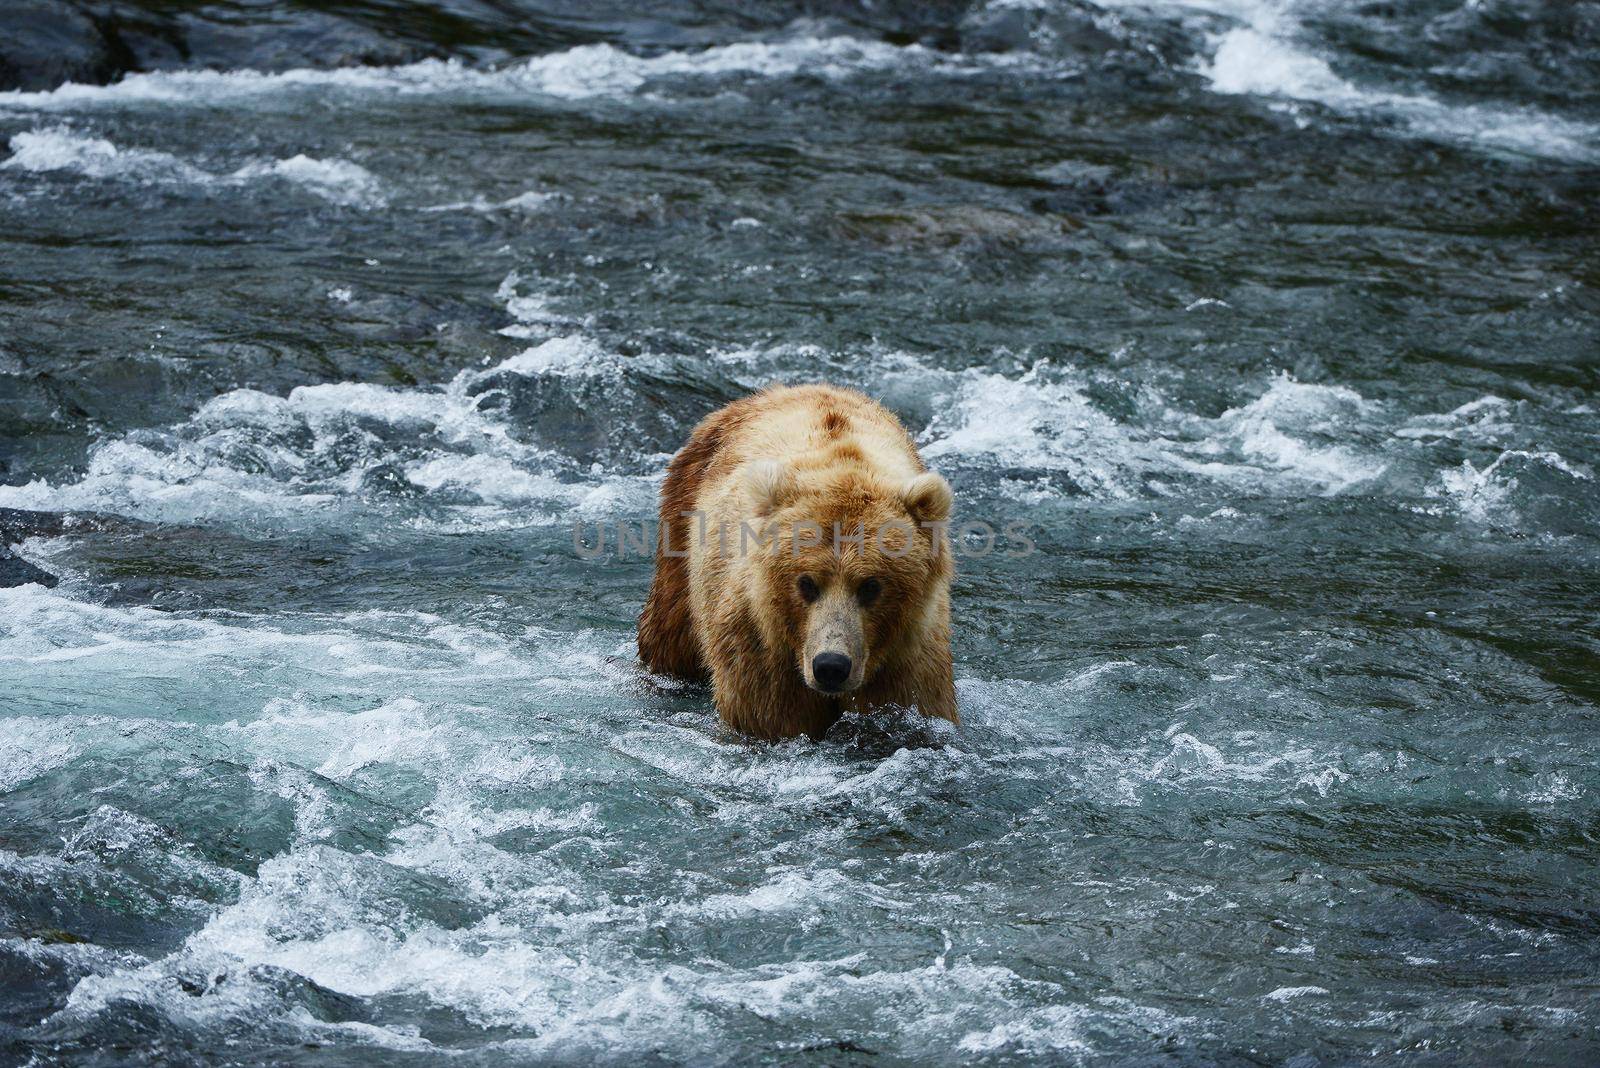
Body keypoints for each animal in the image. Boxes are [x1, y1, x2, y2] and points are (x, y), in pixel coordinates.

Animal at [636, 383, 953, 741]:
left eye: (871, 585)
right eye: (806, 583)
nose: (831, 666)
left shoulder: (908, 657)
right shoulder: (761, 647)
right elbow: (771, 719)